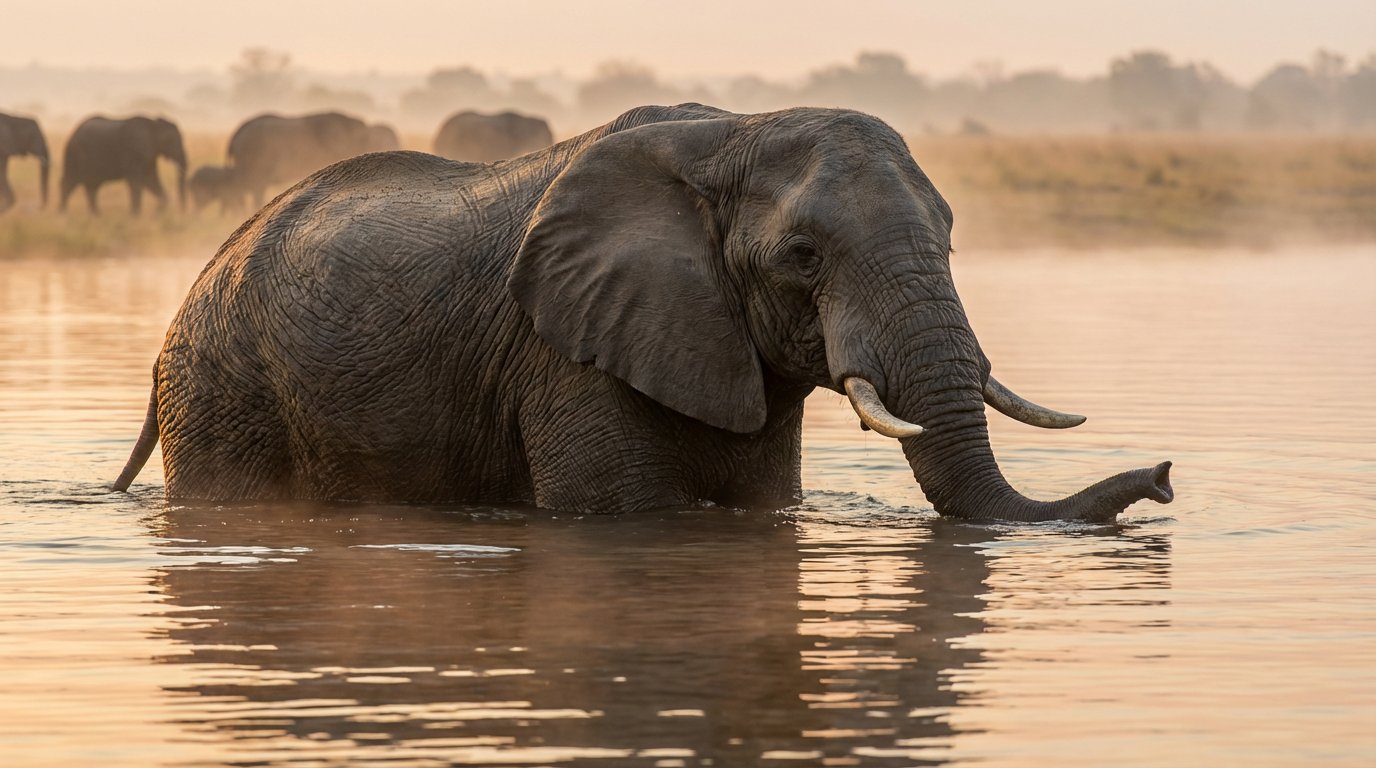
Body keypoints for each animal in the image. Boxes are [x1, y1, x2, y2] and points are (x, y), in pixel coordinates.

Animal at [58, 115, 187, 215]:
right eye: (176, 142)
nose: (182, 211)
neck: (154, 125)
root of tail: (73, 133)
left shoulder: (149, 156)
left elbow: (150, 179)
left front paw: (156, 214)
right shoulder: (136, 151)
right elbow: (136, 182)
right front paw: (135, 216)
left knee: (92, 186)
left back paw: (97, 215)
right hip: (75, 155)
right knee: (70, 182)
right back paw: (63, 214)